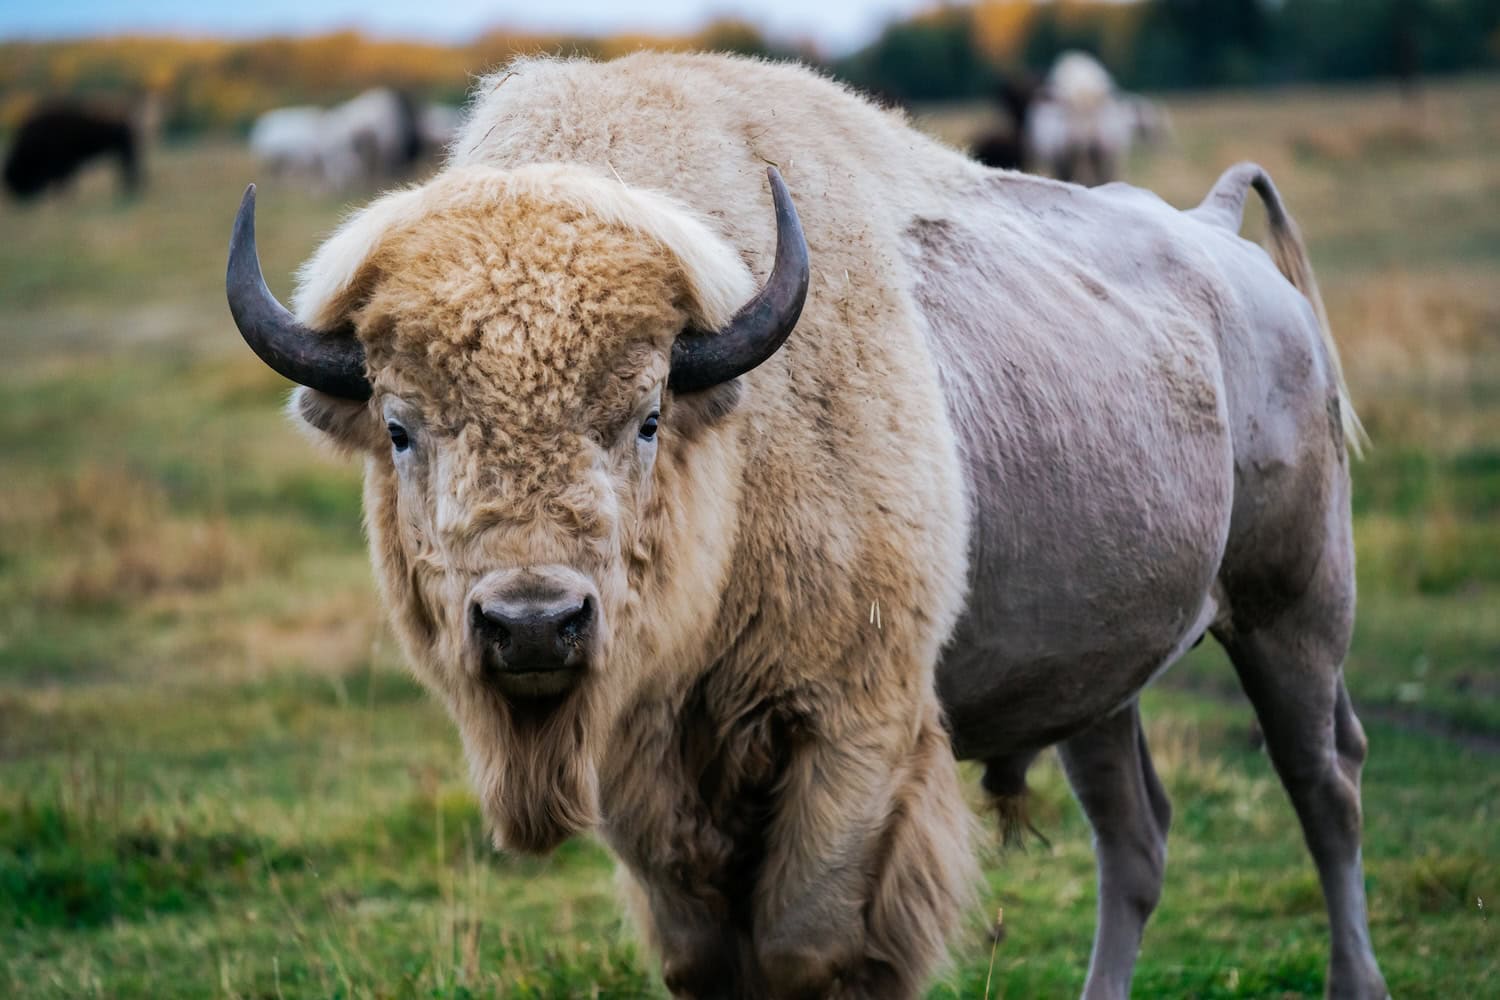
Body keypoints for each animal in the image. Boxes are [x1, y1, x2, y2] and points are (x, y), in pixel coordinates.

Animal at [227, 53, 1385, 999]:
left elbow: (808, 951)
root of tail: (1220, 236)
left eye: (646, 415)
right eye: (399, 427)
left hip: (1293, 611)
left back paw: (1354, 978)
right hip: (1104, 676)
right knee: (1134, 839)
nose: (533, 625)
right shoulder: (648, 780)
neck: (734, 445)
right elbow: (705, 959)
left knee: (1325, 788)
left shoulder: (852, 737)